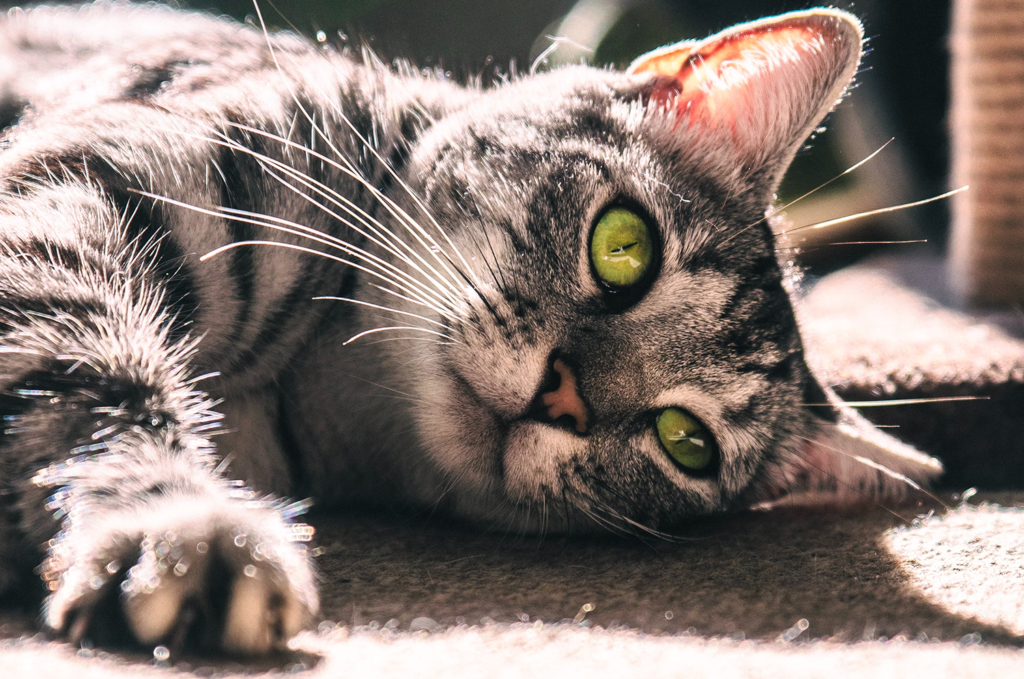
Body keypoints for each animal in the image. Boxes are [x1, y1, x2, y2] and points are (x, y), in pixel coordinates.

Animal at [0, 0, 942, 659]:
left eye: (687, 441)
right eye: (624, 246)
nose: (562, 399)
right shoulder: (90, 186)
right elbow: (91, 373)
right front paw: (176, 521)